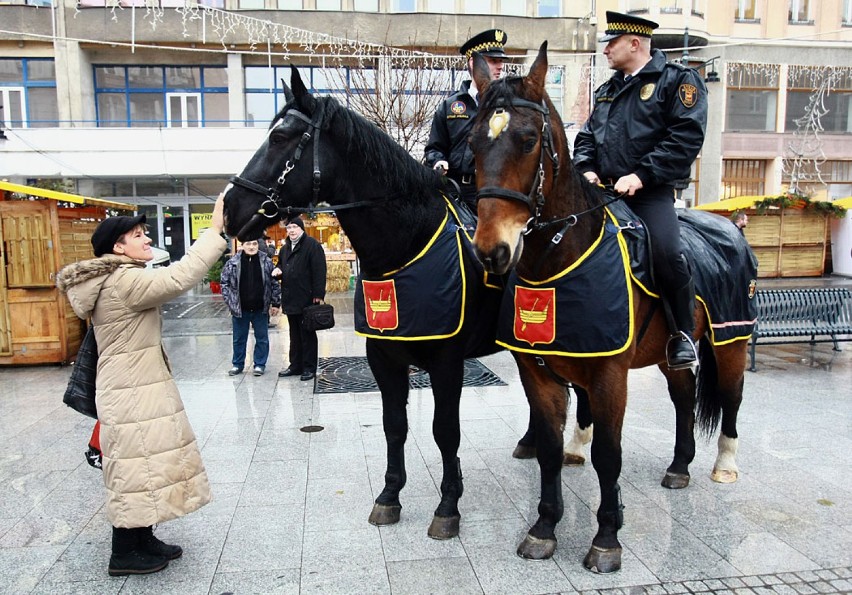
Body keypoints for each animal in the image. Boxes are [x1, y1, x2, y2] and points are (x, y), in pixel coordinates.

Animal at [466, 42, 752, 572]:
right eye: (473, 142)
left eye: (528, 139)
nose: (491, 252)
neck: (559, 259)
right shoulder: (540, 371)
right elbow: (550, 450)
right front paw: (544, 528)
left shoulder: (608, 374)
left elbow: (608, 454)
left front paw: (606, 537)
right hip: (669, 352)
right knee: (684, 396)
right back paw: (680, 465)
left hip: (731, 339)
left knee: (731, 397)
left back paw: (723, 464)